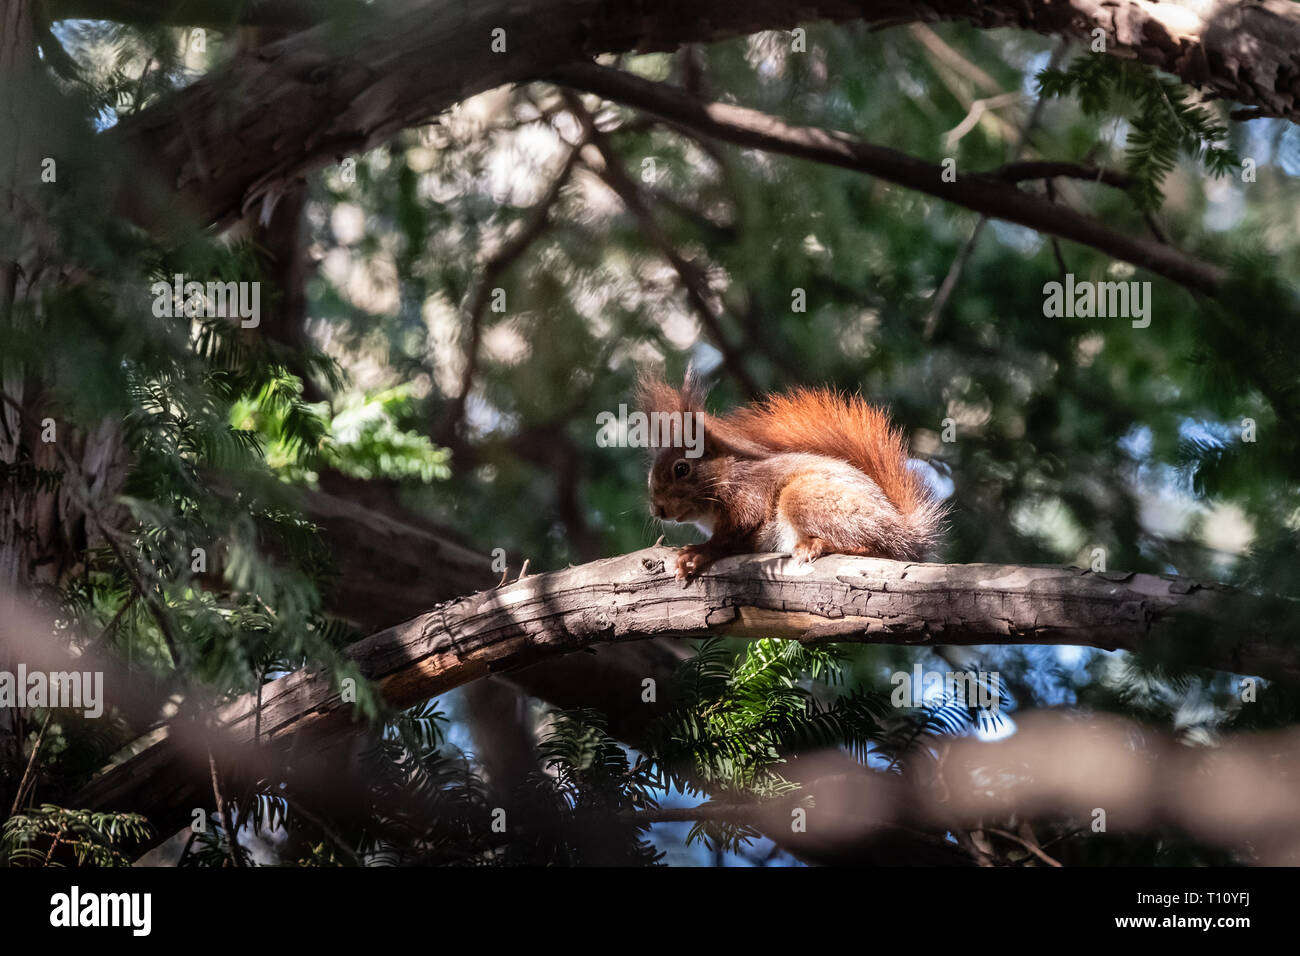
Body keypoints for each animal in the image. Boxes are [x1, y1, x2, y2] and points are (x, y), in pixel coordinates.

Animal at [639, 369, 946, 580]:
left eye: (682, 468)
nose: (657, 510)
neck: (725, 475)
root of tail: (905, 533)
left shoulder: (749, 495)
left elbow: (732, 535)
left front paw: (697, 553)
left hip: (804, 495)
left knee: (877, 548)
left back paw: (818, 545)